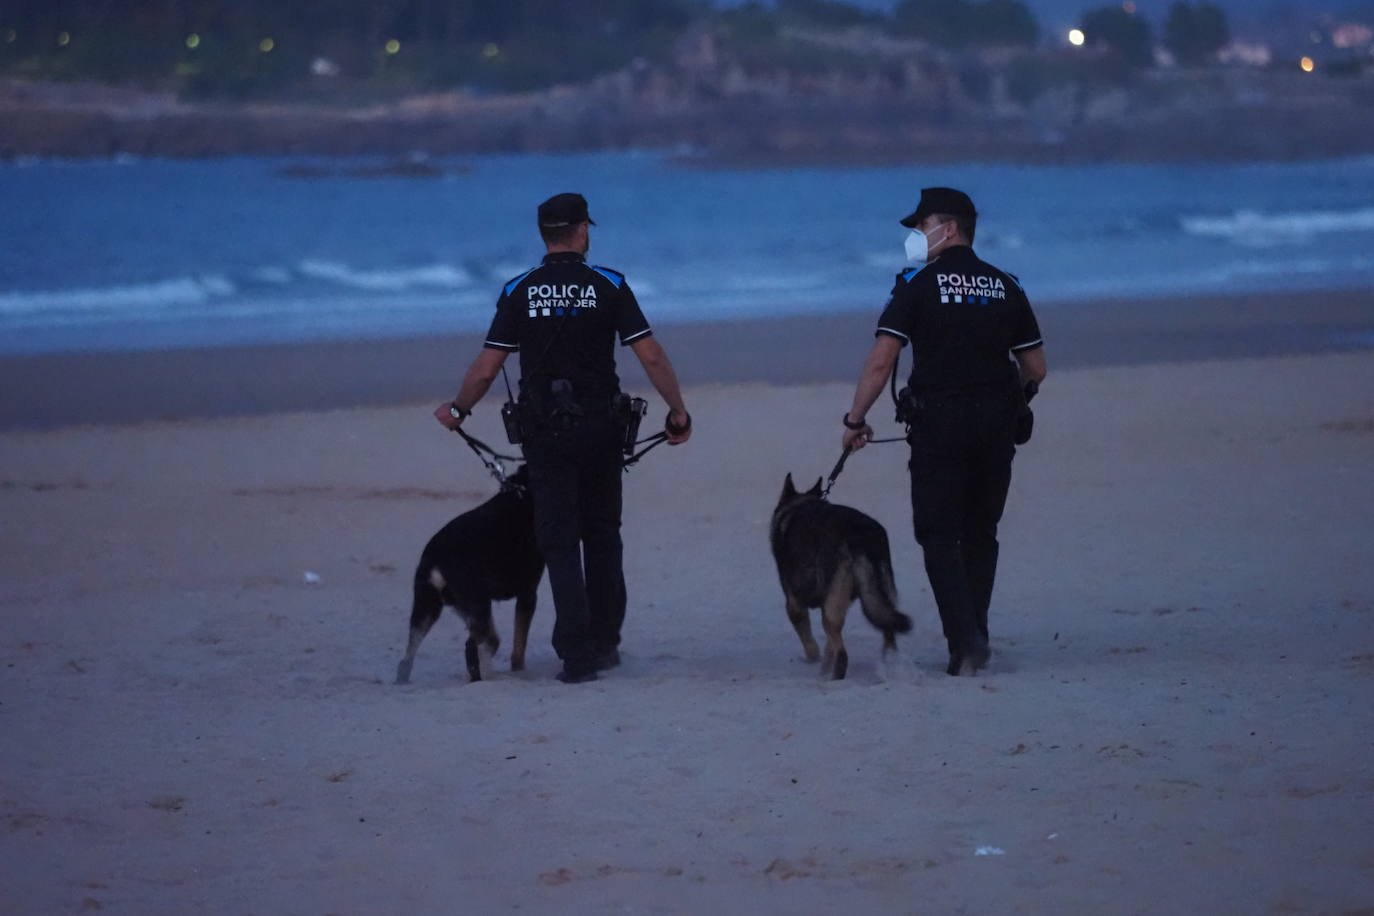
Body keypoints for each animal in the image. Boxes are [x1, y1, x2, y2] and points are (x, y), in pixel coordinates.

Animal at [392, 469, 541, 683]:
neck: (523, 492)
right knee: (474, 646)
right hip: (478, 606)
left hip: (430, 608)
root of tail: (437, 558)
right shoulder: (528, 594)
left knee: (406, 659)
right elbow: (518, 649)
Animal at [774, 472, 912, 681]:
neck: (799, 505)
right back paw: (888, 668)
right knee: (888, 631)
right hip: (881, 597)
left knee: (842, 654)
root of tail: (860, 537)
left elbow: (810, 643)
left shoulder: (794, 603)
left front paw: (814, 660)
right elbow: (828, 646)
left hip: (832, 609)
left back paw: (833, 679)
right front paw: (823, 665)